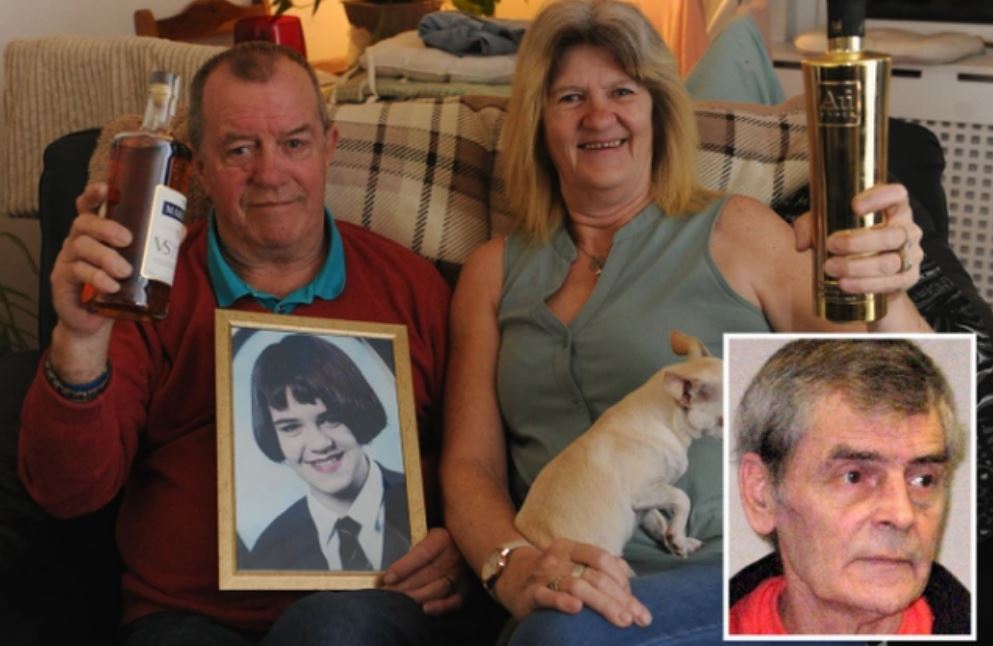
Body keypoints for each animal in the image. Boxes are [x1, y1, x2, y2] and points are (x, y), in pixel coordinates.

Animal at [515, 331, 723, 558]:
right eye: (725, 419)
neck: (666, 422)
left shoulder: (647, 502)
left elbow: (659, 520)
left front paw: (680, 541)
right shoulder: (643, 490)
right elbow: (682, 498)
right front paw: (677, 537)